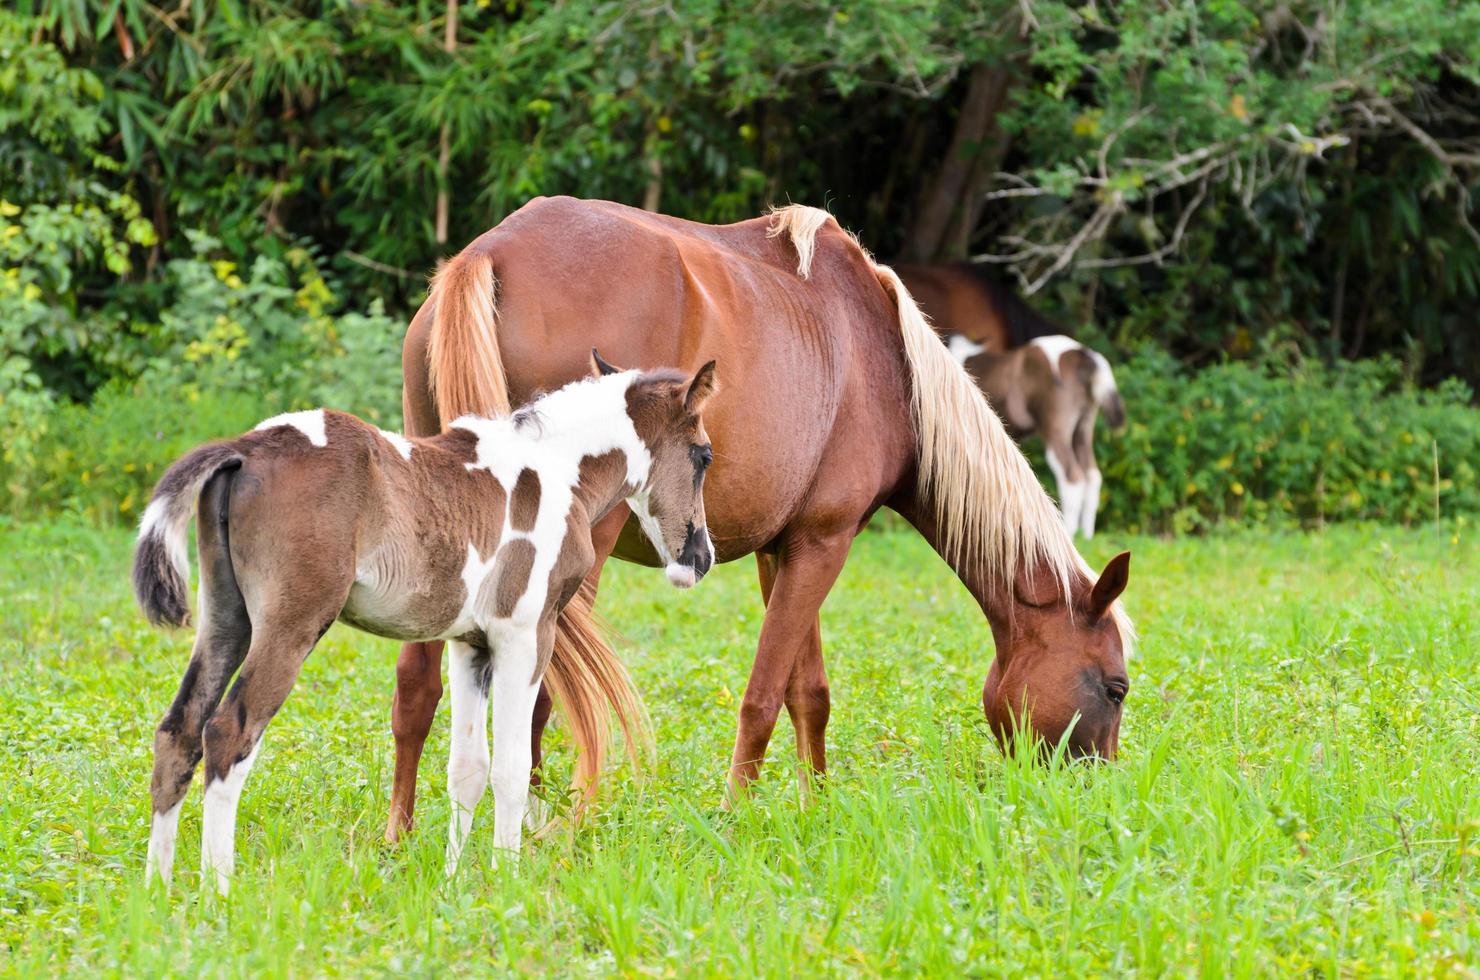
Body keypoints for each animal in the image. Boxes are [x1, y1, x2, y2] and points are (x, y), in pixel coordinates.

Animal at [133, 362, 716, 900]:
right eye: (703, 455)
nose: (700, 558)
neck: (555, 470)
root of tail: (245, 449)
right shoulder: (525, 636)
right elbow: (510, 767)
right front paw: (506, 881)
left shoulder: (470, 645)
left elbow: (467, 768)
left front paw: (454, 881)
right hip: (290, 626)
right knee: (227, 733)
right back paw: (218, 892)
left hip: (226, 620)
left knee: (179, 729)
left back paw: (157, 891)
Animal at [947, 336, 1130, 538]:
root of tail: (1084, 354)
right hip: (1083, 429)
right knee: (1092, 476)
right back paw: (1087, 536)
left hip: (1056, 429)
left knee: (1072, 477)